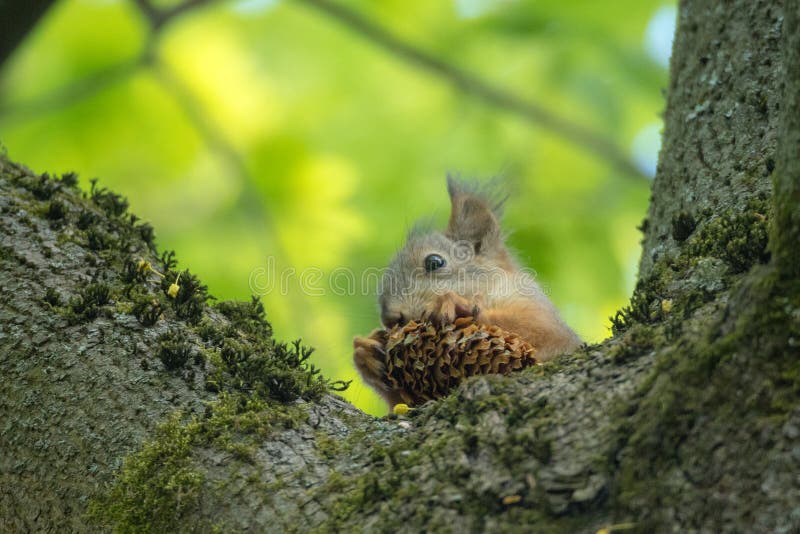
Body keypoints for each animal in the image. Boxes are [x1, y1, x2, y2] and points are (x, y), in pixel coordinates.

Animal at [354, 176, 582, 407]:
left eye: (434, 262)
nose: (390, 318)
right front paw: (367, 351)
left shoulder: (540, 314)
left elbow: (542, 330)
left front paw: (454, 305)